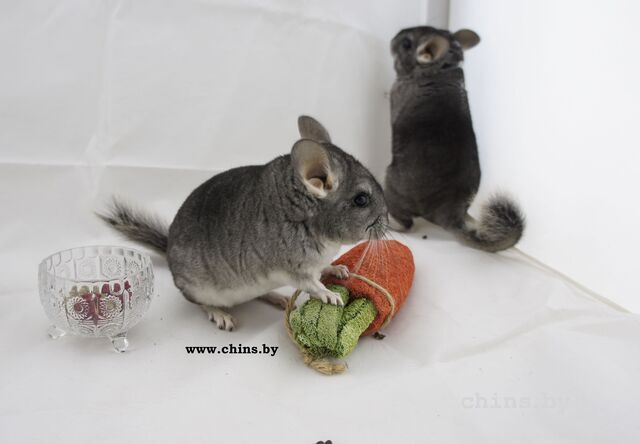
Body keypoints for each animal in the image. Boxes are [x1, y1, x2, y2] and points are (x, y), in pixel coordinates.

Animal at [98, 116, 387, 331]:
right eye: (362, 199)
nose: (386, 219)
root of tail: (168, 249)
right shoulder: (293, 268)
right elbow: (312, 284)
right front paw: (331, 295)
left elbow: (325, 267)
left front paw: (338, 270)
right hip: (198, 289)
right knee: (198, 303)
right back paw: (221, 315)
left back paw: (277, 298)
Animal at [385, 26, 525, 252]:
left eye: (406, 43)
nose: (392, 39)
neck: (441, 68)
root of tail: (450, 214)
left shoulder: (395, 92)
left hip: (390, 184)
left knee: (407, 224)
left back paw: (393, 226)